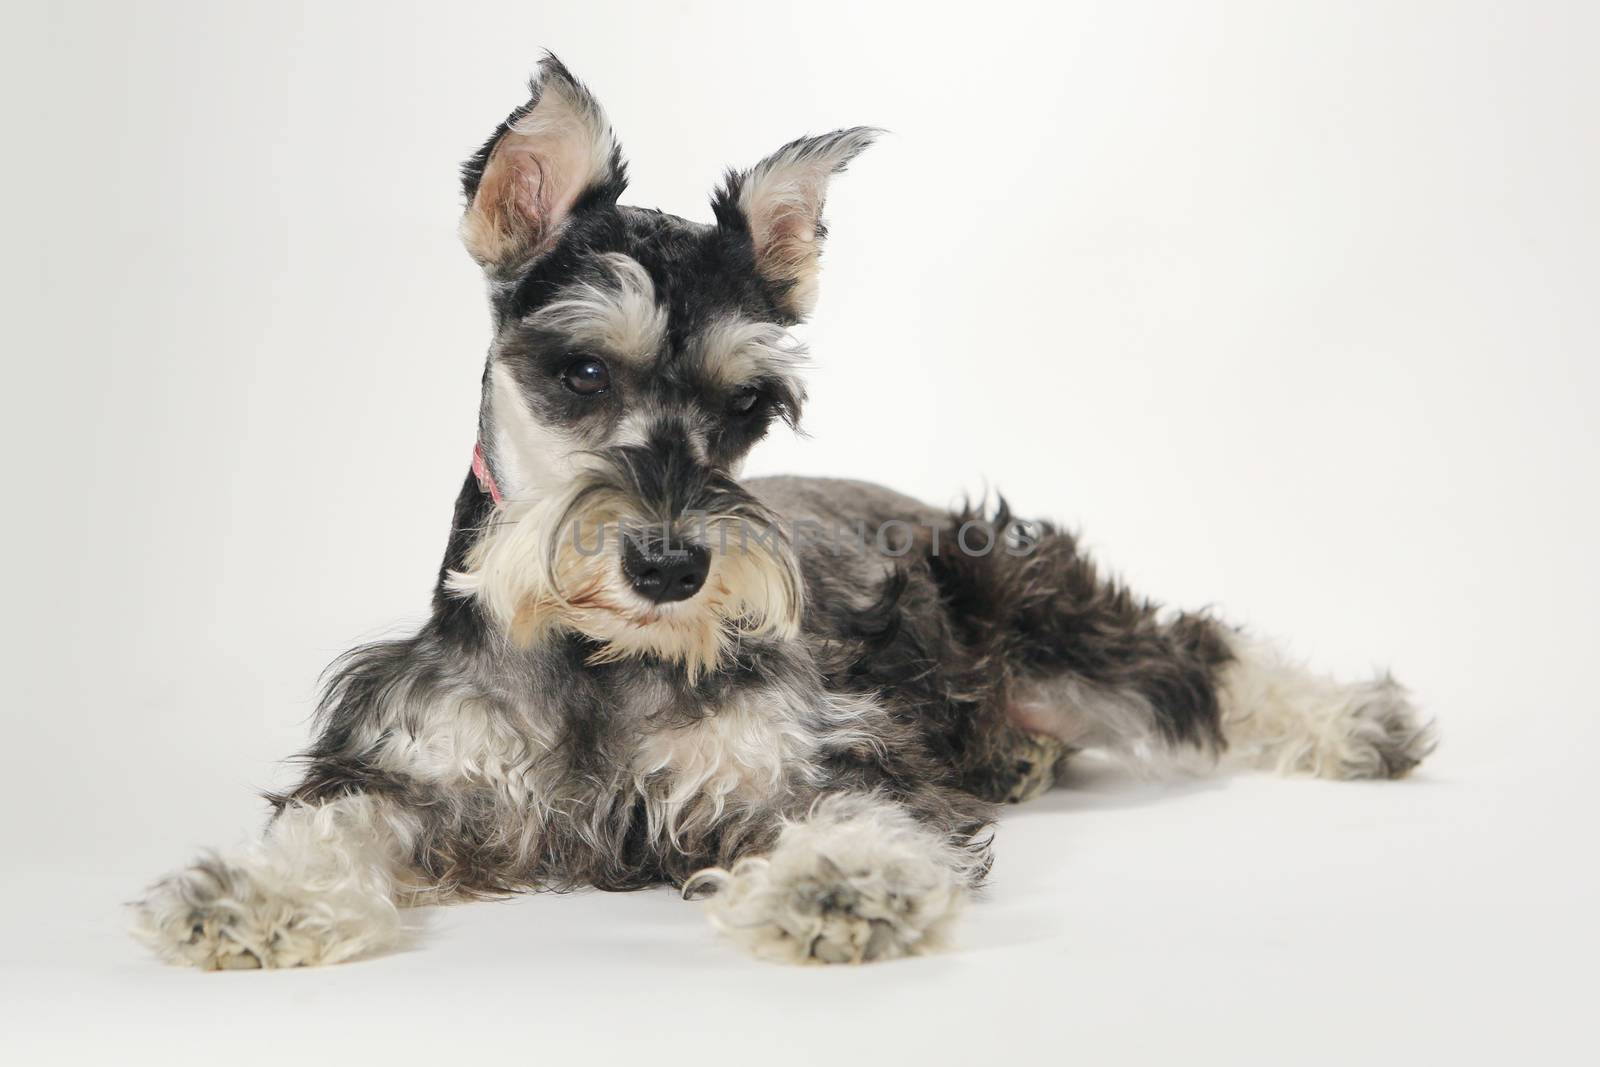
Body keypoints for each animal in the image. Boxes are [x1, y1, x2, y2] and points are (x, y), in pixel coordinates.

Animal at [134, 60, 1440, 979]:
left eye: (747, 404)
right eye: (578, 372)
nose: (670, 565)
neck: (593, 656)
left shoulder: (819, 753)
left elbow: (865, 806)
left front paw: (844, 885)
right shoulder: (407, 766)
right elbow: (332, 825)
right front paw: (245, 895)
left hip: (1035, 608)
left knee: (1195, 657)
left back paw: (1358, 721)